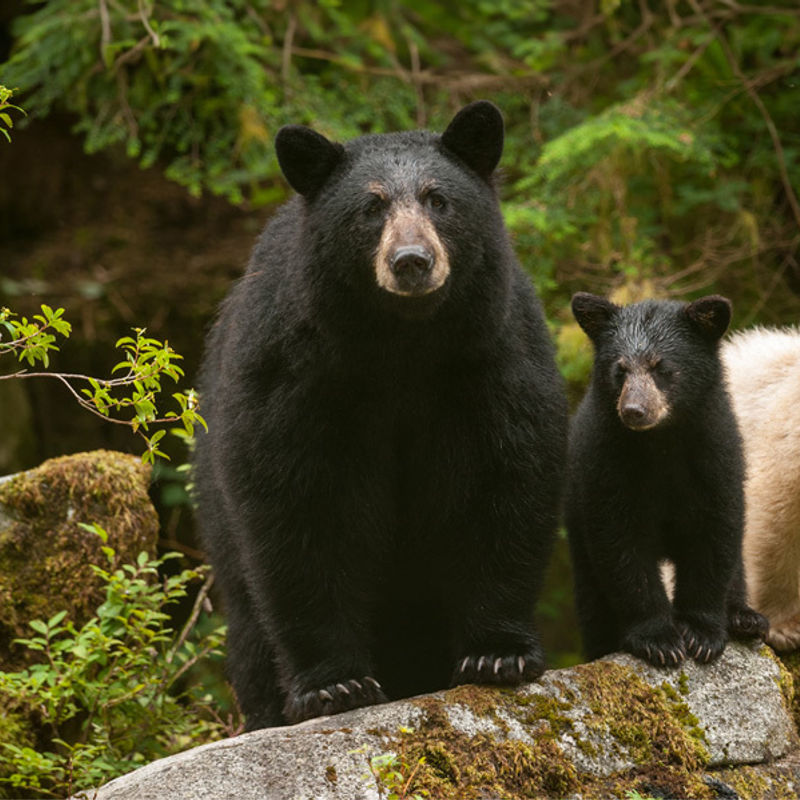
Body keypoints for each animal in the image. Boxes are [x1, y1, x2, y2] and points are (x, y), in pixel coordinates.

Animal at [192, 101, 568, 729]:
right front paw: (333, 685)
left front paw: (498, 655)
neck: (402, 345)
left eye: (438, 199)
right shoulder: (296, 375)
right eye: (371, 208)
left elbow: (504, 483)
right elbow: (299, 508)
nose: (411, 262)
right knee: (248, 632)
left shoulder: (492, 358)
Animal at [564, 293, 767, 668]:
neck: (661, 443)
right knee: (592, 598)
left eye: (662, 367)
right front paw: (659, 640)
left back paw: (744, 618)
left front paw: (702, 634)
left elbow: (714, 537)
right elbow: (622, 546)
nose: (633, 411)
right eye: (620, 369)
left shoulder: (715, 457)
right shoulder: (607, 464)